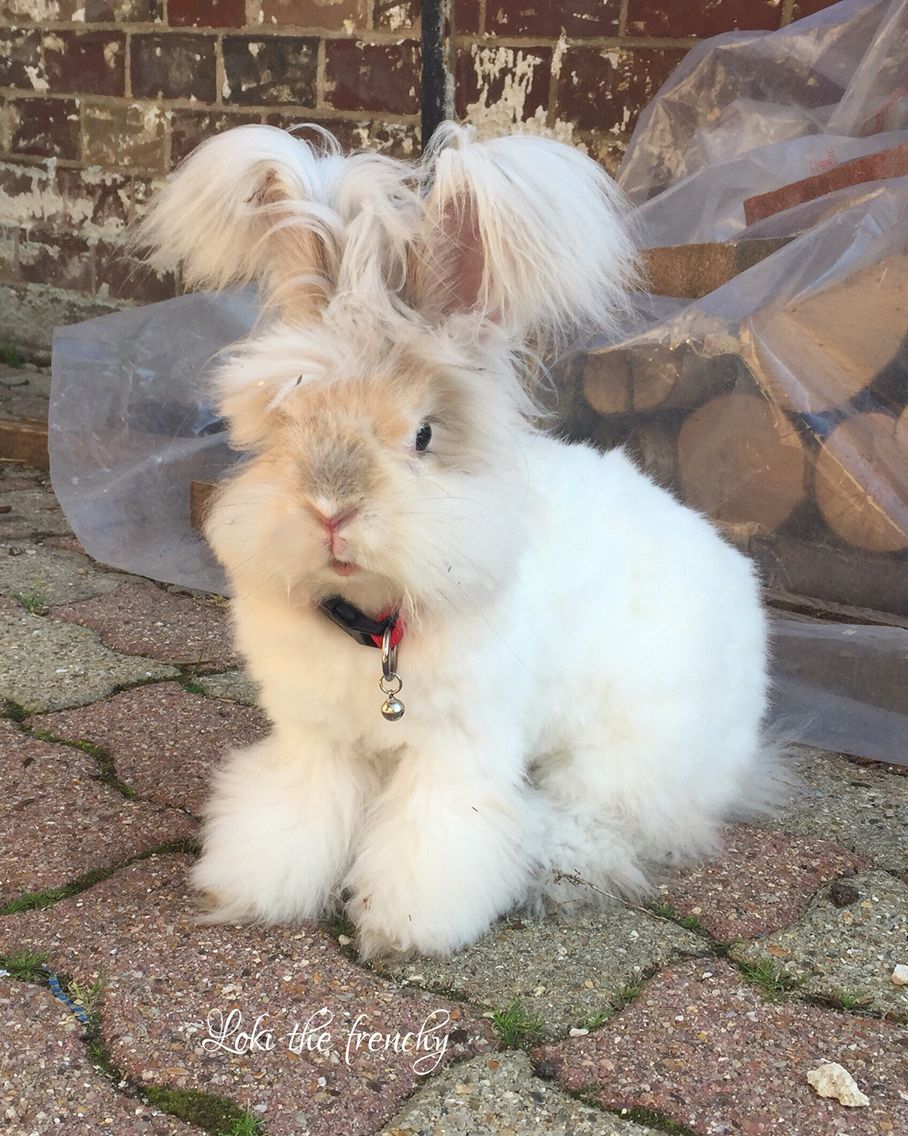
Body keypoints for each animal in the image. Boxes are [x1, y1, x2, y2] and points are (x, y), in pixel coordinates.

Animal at [138, 122, 777, 958]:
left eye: (423, 435)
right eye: (285, 424)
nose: (332, 510)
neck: (377, 627)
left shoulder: (459, 750)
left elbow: (438, 834)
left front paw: (403, 928)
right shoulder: (316, 740)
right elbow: (299, 809)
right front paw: (257, 890)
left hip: (625, 745)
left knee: (617, 816)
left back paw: (554, 863)